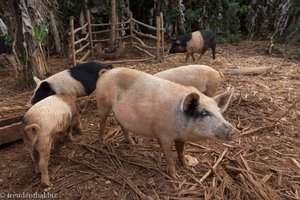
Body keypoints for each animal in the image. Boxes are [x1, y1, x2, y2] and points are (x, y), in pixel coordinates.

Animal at [96, 67, 239, 178]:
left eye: (219, 112)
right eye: (204, 113)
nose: (235, 131)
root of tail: (105, 73)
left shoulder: (181, 137)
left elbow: (181, 151)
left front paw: (187, 167)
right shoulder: (164, 134)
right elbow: (169, 156)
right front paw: (175, 176)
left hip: (118, 112)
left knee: (121, 123)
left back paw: (132, 142)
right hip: (103, 103)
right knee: (102, 122)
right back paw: (102, 142)